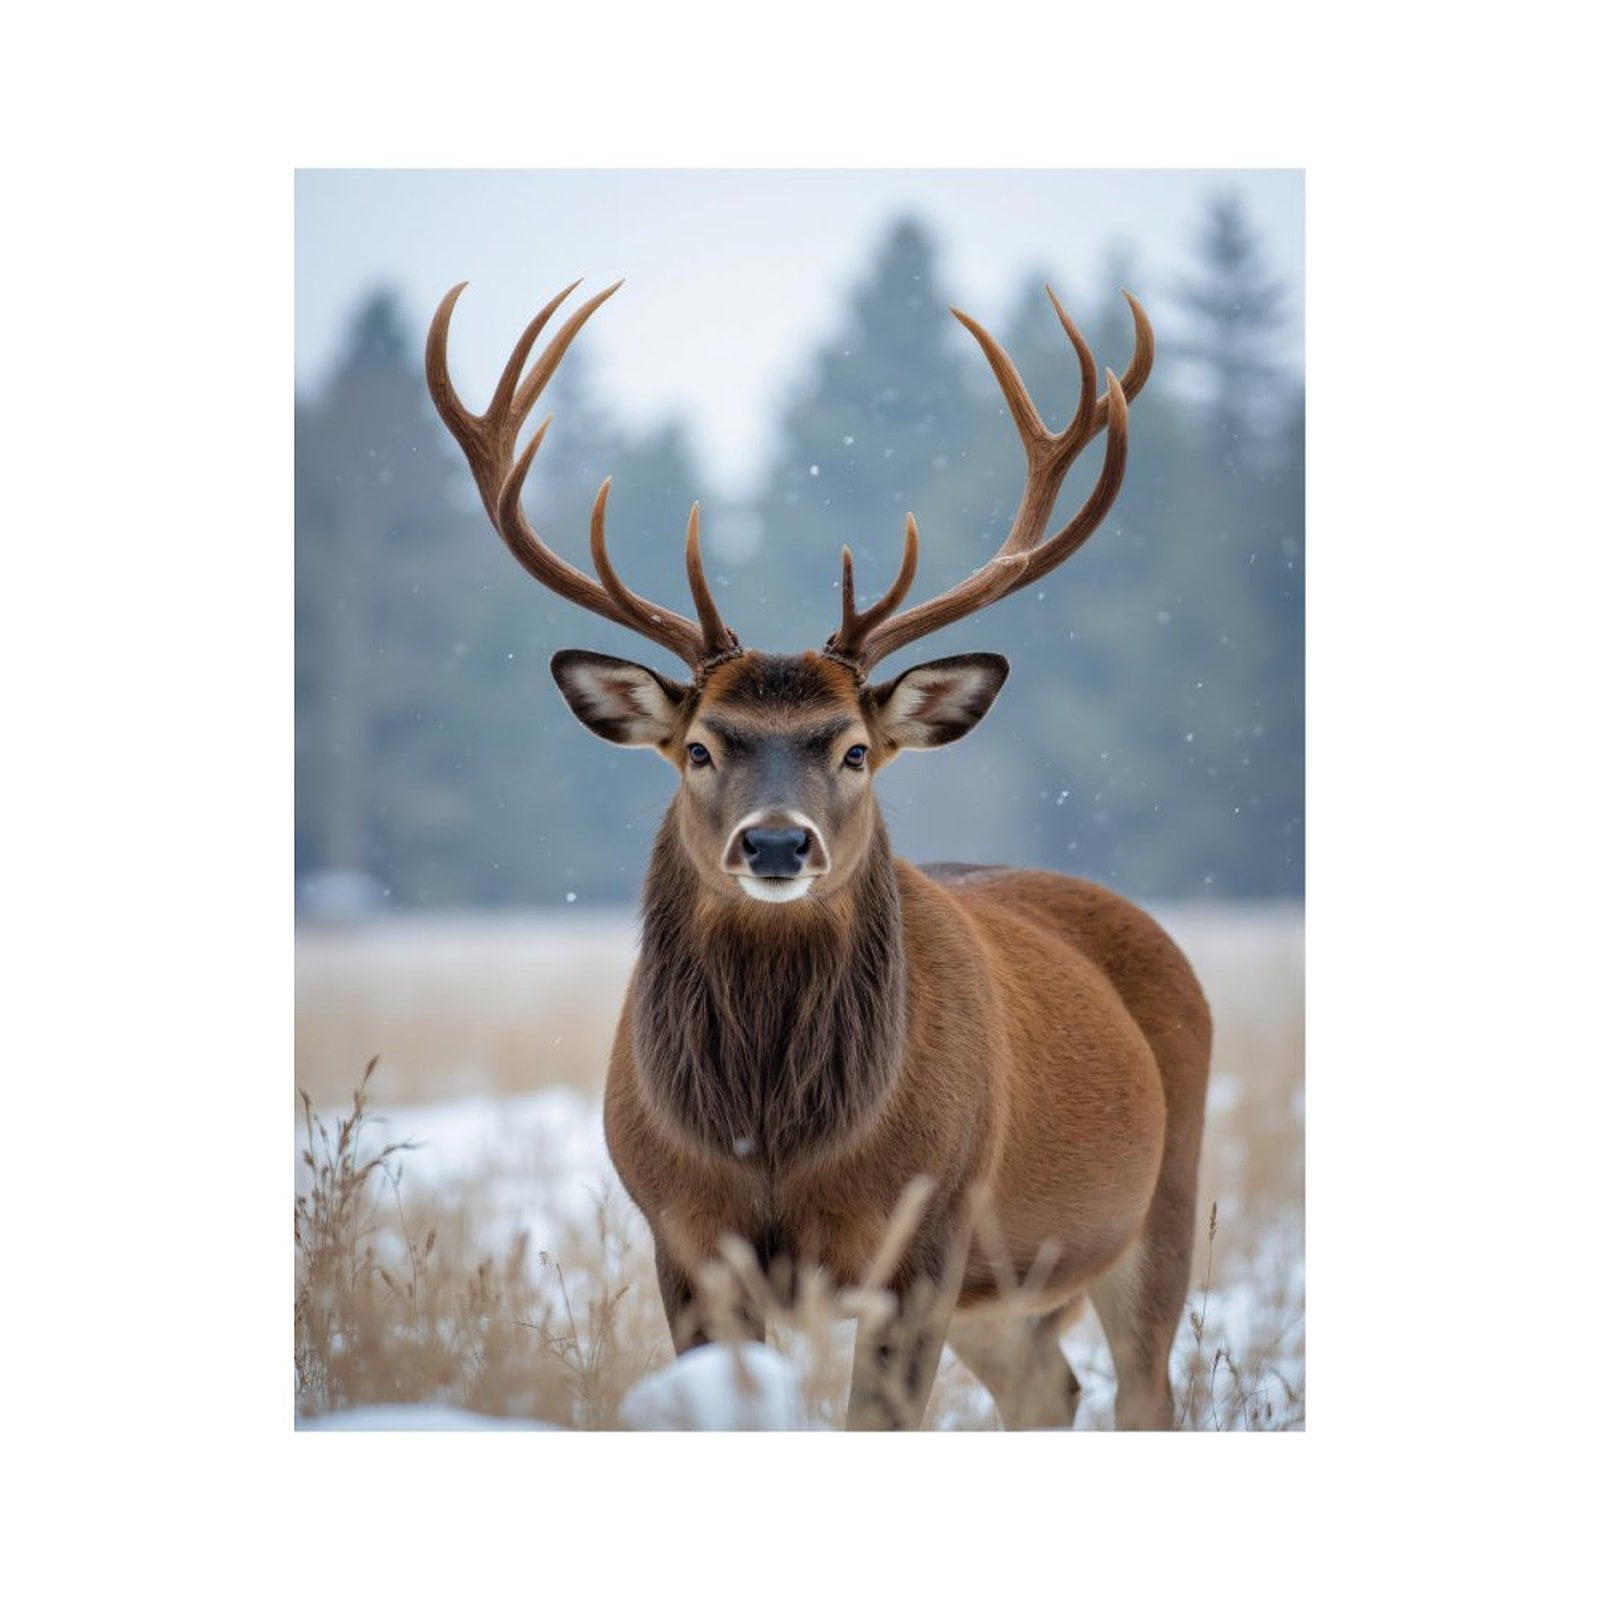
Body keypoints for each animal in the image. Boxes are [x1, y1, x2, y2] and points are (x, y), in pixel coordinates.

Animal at [425, 274, 1211, 1430]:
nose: (776, 841)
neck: (775, 1140)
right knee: (1050, 1384)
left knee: (1146, 1391)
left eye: (854, 749)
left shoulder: (926, 1232)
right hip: (1007, 1287)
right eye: (699, 747)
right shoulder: (683, 1238)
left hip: (1157, 1205)